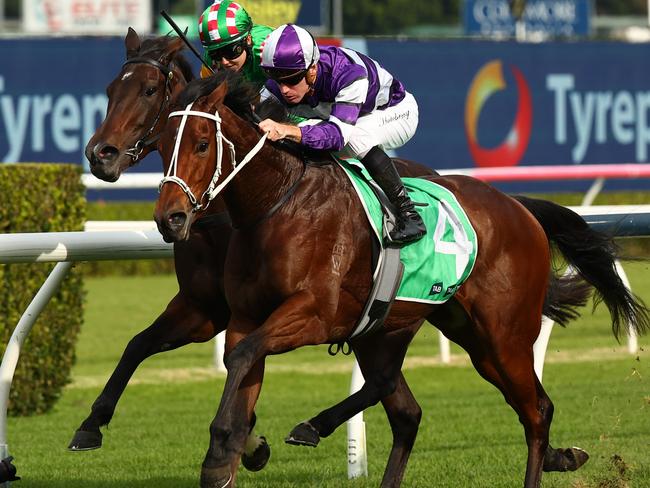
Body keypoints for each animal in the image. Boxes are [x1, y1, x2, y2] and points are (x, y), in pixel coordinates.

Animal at [71, 27, 436, 468]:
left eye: (149, 89)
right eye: (110, 90)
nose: (99, 155)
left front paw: (248, 440)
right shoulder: (203, 307)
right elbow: (138, 344)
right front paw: (91, 423)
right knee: (399, 399)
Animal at [153, 71, 648, 488]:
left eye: (201, 144)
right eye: (162, 144)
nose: (169, 218)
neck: (278, 204)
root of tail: (518, 206)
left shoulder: (313, 315)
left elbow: (243, 357)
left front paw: (223, 450)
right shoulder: (246, 317)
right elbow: (240, 364)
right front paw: (227, 453)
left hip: (504, 335)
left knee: (536, 411)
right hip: (444, 331)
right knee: (407, 403)